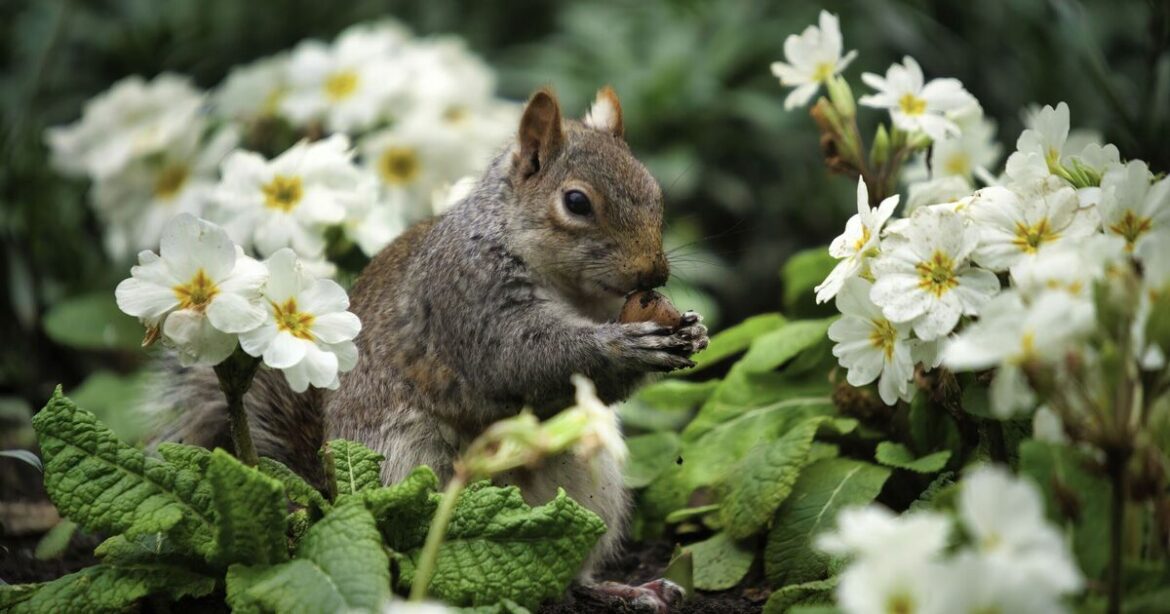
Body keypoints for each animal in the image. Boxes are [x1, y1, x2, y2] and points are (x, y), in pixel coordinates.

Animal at [156, 86, 709, 594]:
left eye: (654, 190)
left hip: (589, 479)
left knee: (569, 566)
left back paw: (622, 589)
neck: (567, 285)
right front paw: (628, 346)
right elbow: (525, 360)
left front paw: (693, 329)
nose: (654, 273)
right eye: (576, 202)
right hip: (409, 468)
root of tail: (332, 495)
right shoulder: (467, 297)